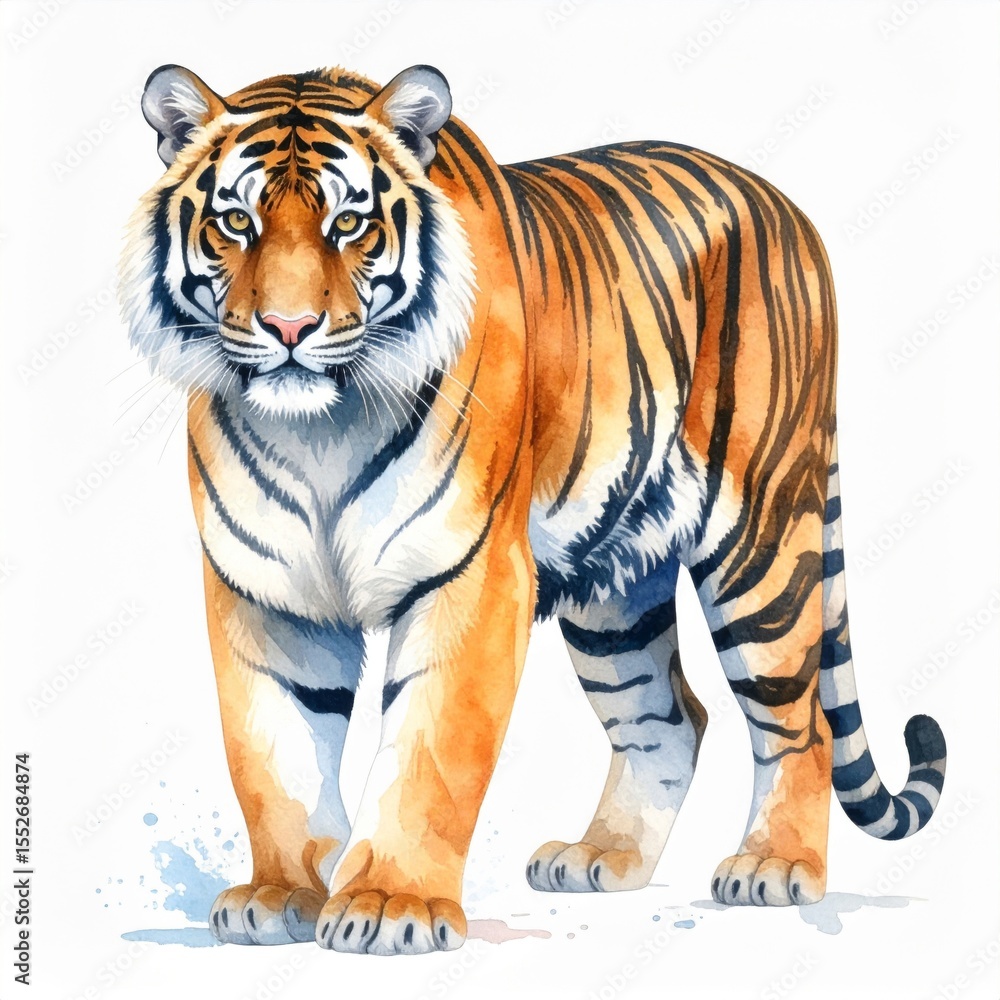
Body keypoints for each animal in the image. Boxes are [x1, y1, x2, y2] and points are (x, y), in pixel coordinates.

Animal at [119, 61, 947, 955]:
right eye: (236, 221)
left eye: (350, 224)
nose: (289, 327)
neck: (321, 432)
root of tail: (785, 205)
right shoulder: (264, 592)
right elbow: (277, 758)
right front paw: (281, 896)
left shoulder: (471, 574)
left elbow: (430, 752)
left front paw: (389, 904)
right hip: (616, 588)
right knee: (669, 716)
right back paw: (603, 857)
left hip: (763, 543)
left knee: (803, 723)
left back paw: (776, 866)